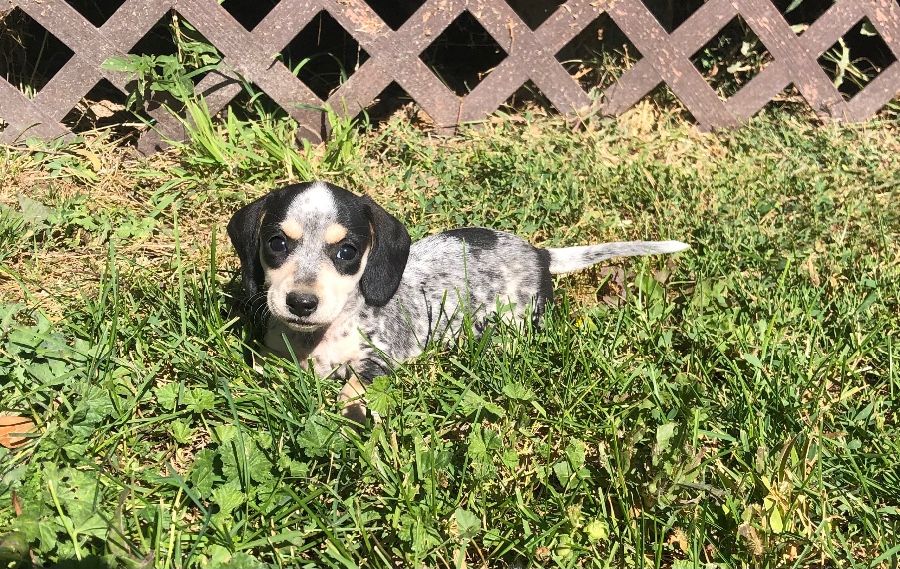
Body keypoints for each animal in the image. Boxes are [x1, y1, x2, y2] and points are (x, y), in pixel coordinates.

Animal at [229, 181, 684, 418]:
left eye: (347, 252)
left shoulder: (380, 357)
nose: (301, 303)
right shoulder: (273, 356)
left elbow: (355, 389)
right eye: (276, 243)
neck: (318, 339)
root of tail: (541, 255)